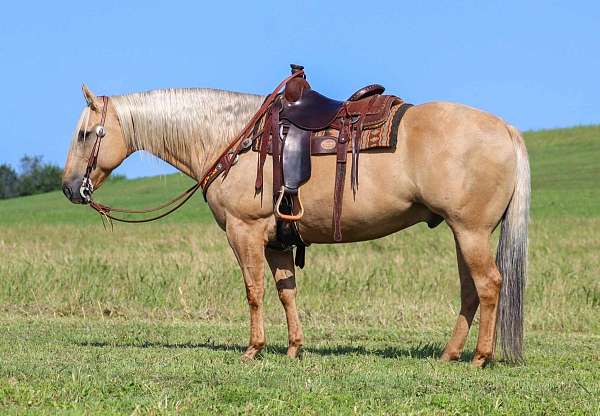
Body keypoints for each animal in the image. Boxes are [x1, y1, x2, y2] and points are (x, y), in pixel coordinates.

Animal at [62, 79, 528, 368]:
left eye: (85, 134)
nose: (69, 188)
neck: (234, 138)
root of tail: (505, 127)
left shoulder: (244, 231)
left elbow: (254, 291)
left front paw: (254, 349)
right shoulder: (277, 241)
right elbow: (287, 292)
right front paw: (293, 348)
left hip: (470, 231)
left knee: (489, 285)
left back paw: (481, 358)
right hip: (462, 232)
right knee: (470, 290)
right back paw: (450, 354)